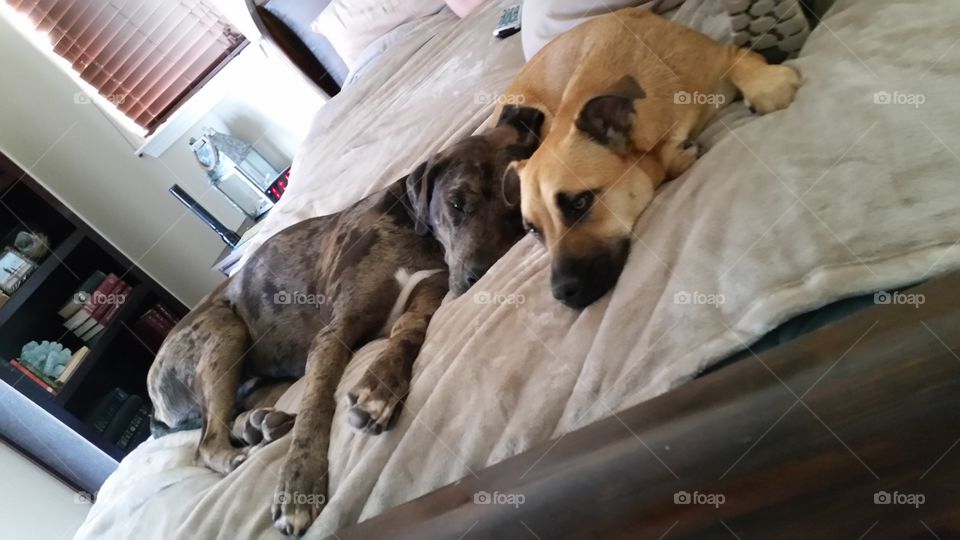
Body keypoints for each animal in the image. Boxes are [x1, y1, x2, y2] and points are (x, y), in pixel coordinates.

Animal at [146, 107, 544, 536]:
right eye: (456, 203)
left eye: (517, 214)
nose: (478, 277)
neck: (416, 233)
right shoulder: (335, 332)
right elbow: (316, 405)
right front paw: (299, 487)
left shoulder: (423, 301)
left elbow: (407, 334)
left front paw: (380, 388)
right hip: (224, 331)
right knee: (206, 441)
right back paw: (241, 453)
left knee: (229, 417)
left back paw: (260, 423)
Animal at [498, 7, 800, 308]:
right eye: (533, 230)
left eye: (580, 203)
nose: (561, 294)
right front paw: (681, 154)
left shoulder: (717, 58)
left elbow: (740, 56)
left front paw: (766, 83)